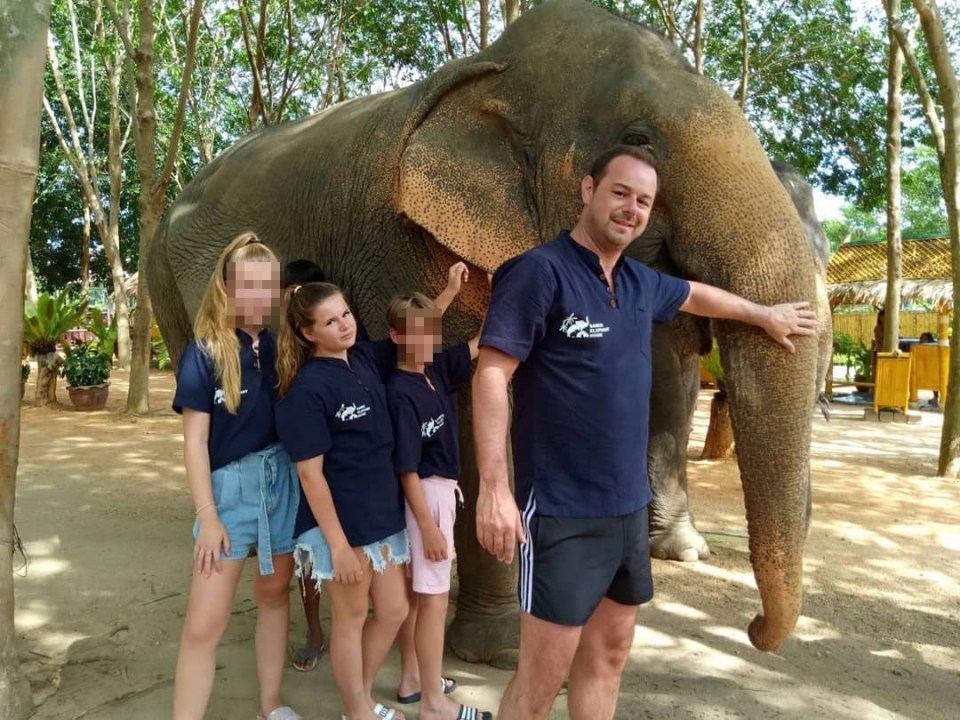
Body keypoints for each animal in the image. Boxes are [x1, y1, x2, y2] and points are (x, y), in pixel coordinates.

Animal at [152, 0, 824, 660]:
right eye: (638, 139)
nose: (755, 631)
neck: (493, 72)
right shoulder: (399, 241)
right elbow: (472, 397)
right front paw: (499, 648)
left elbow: (666, 374)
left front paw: (672, 556)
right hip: (167, 280)